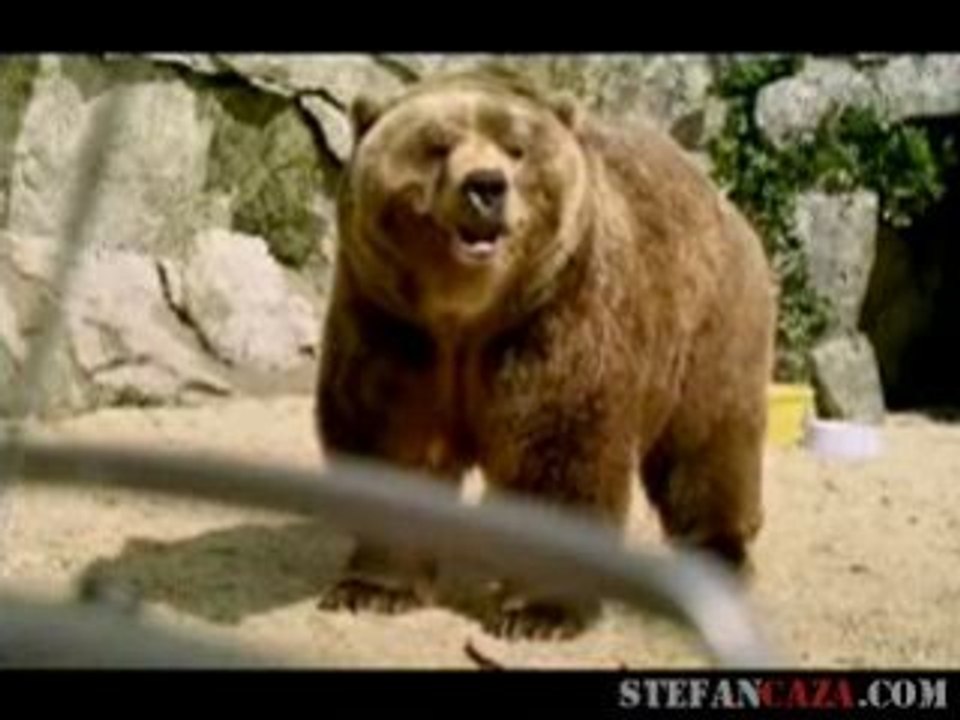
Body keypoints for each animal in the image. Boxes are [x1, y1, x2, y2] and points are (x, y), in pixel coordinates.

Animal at [313, 67, 776, 640]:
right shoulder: (392, 326)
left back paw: (718, 556)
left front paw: (537, 614)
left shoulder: (555, 323)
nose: (485, 186)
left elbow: (558, 455)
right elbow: (391, 442)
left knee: (709, 441)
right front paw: (372, 587)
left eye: (516, 148)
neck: (464, 315)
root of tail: (721, 196)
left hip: (709, 322)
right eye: (437, 145)